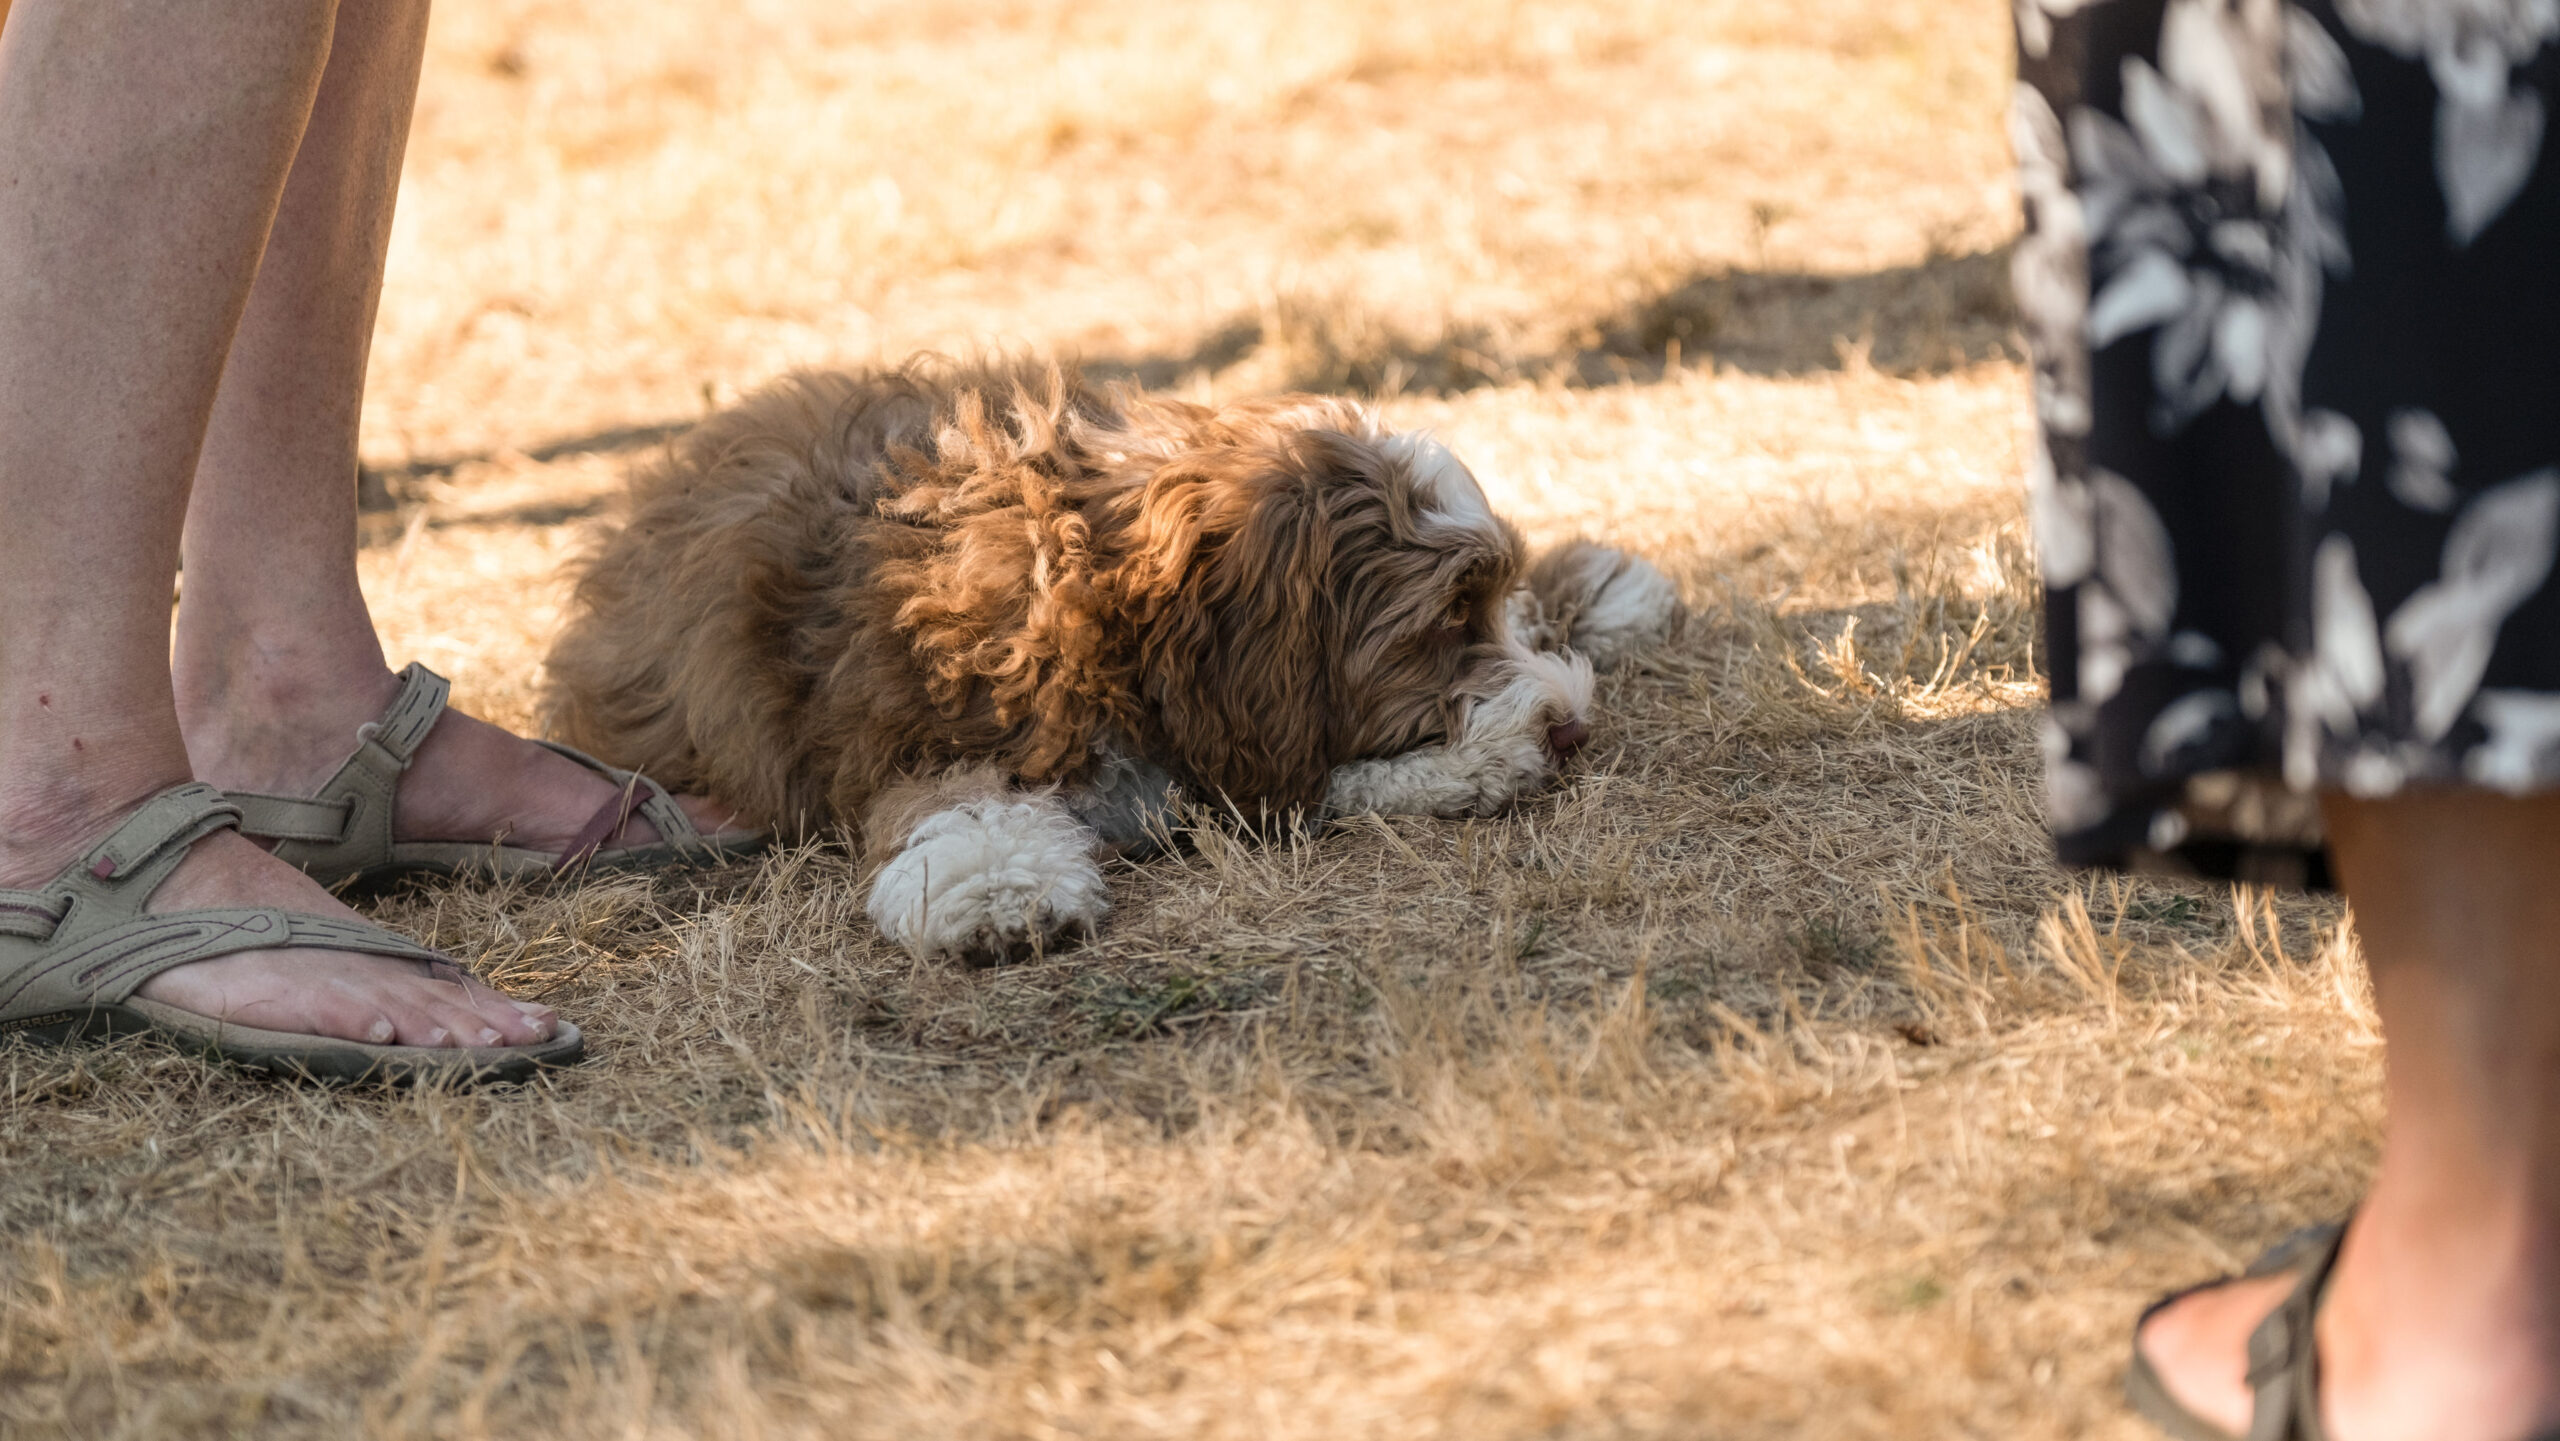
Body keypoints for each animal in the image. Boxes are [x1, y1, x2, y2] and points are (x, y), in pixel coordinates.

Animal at [545, 358, 1679, 962]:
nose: (1572, 727)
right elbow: (959, 804)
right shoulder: (911, 729)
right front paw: (998, 889)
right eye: (1444, 619)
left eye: (1480, 602)